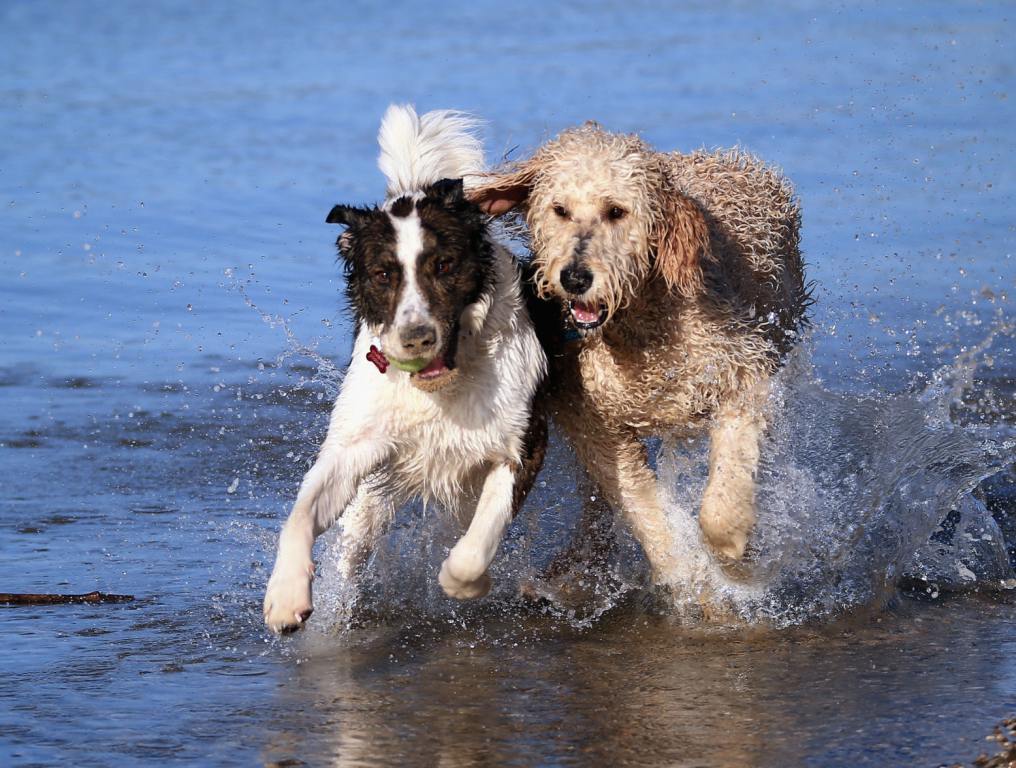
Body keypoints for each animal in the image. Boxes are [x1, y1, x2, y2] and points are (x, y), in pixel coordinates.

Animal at [262, 105, 548, 633]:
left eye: (444, 265)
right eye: (382, 275)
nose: (416, 338)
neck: (439, 388)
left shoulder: (520, 442)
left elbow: (474, 545)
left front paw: (465, 585)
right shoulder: (357, 442)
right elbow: (302, 511)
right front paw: (286, 595)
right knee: (357, 540)